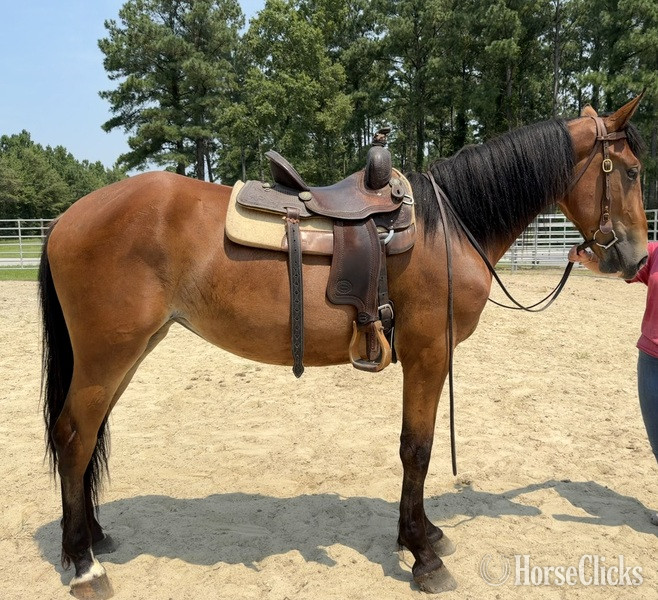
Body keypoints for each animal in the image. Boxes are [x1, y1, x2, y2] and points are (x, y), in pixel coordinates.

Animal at [38, 97, 648, 598]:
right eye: (633, 172)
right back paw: (85, 565)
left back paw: (91, 538)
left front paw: (426, 534)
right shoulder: (429, 354)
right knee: (72, 437)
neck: (448, 228)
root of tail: (67, 218)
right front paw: (422, 555)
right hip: (106, 356)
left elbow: (416, 449)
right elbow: (417, 449)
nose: (638, 258)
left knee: (86, 440)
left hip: (130, 353)